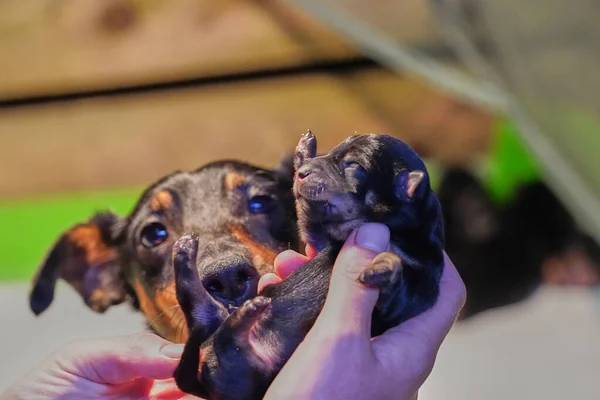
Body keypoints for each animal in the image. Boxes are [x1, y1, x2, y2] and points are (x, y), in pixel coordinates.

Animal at [173, 132, 446, 400]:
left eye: (353, 165)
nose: (303, 172)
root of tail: (204, 381)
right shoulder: (321, 242)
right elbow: (308, 224)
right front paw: (304, 152)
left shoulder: (418, 286)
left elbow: (397, 291)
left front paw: (384, 264)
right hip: (216, 329)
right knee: (202, 312)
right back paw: (186, 255)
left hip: (250, 374)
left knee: (232, 346)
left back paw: (246, 314)